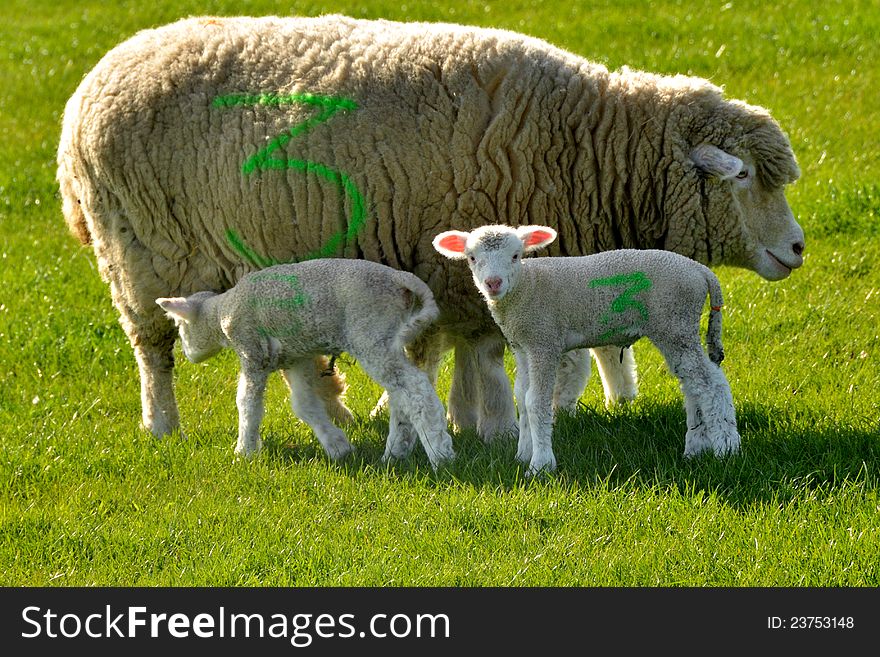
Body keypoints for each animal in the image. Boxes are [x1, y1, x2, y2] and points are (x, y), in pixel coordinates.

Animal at [58, 15, 804, 444]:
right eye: (744, 177)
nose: (797, 247)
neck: (590, 144)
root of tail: (98, 74)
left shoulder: (456, 276)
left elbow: (462, 353)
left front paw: (464, 420)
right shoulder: (459, 267)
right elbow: (485, 356)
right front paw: (495, 427)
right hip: (139, 251)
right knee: (152, 350)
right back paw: (162, 427)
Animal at [155, 256, 454, 466]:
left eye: (180, 327)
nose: (187, 354)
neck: (221, 313)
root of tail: (401, 279)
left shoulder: (252, 352)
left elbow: (247, 404)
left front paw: (244, 451)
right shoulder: (296, 359)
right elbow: (304, 405)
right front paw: (338, 447)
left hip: (370, 333)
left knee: (415, 389)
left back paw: (440, 454)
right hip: (387, 337)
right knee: (401, 394)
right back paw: (395, 453)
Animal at [436, 223, 740, 474]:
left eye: (515, 256)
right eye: (472, 258)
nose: (493, 283)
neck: (526, 286)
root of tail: (701, 271)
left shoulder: (544, 341)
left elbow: (537, 402)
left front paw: (540, 464)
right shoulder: (522, 346)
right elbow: (521, 397)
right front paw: (522, 454)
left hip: (674, 320)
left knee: (710, 384)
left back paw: (726, 447)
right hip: (677, 326)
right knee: (693, 384)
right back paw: (696, 447)